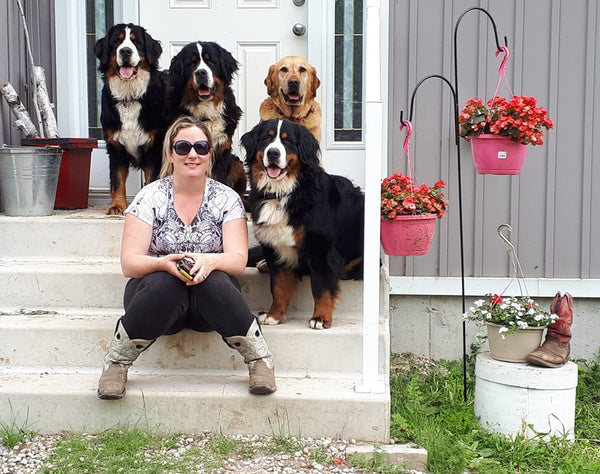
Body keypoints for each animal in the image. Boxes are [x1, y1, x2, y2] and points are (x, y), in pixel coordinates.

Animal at [95, 22, 168, 215]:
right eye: (116, 41)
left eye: (137, 42)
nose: (125, 51)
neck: (129, 96)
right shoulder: (116, 146)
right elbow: (117, 180)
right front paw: (117, 206)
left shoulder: (153, 147)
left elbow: (151, 180)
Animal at [166, 41, 246, 203]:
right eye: (191, 63)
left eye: (211, 61)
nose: (201, 73)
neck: (205, 112)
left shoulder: (221, 154)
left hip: (237, 165)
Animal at [241, 119, 364, 330]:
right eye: (266, 138)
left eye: (288, 141)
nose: (273, 153)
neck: (283, 193)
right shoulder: (275, 245)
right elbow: (278, 287)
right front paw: (274, 315)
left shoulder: (320, 246)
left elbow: (321, 287)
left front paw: (320, 318)